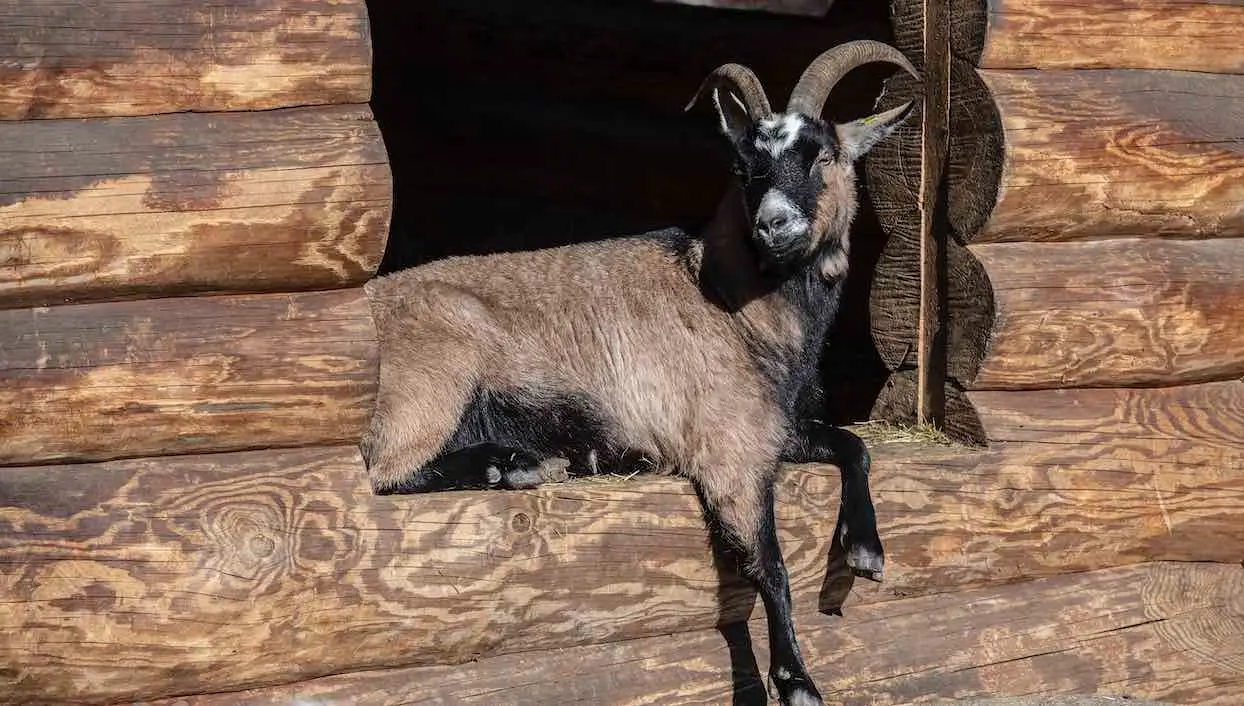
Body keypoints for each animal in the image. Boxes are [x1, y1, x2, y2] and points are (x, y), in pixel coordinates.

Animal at [360, 40, 915, 706]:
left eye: (823, 154)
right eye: (745, 167)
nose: (773, 223)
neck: (729, 305)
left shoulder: (776, 430)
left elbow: (856, 445)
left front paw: (866, 553)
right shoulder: (728, 450)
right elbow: (770, 563)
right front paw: (798, 681)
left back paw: (525, 463)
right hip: (437, 372)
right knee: (382, 471)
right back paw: (515, 464)